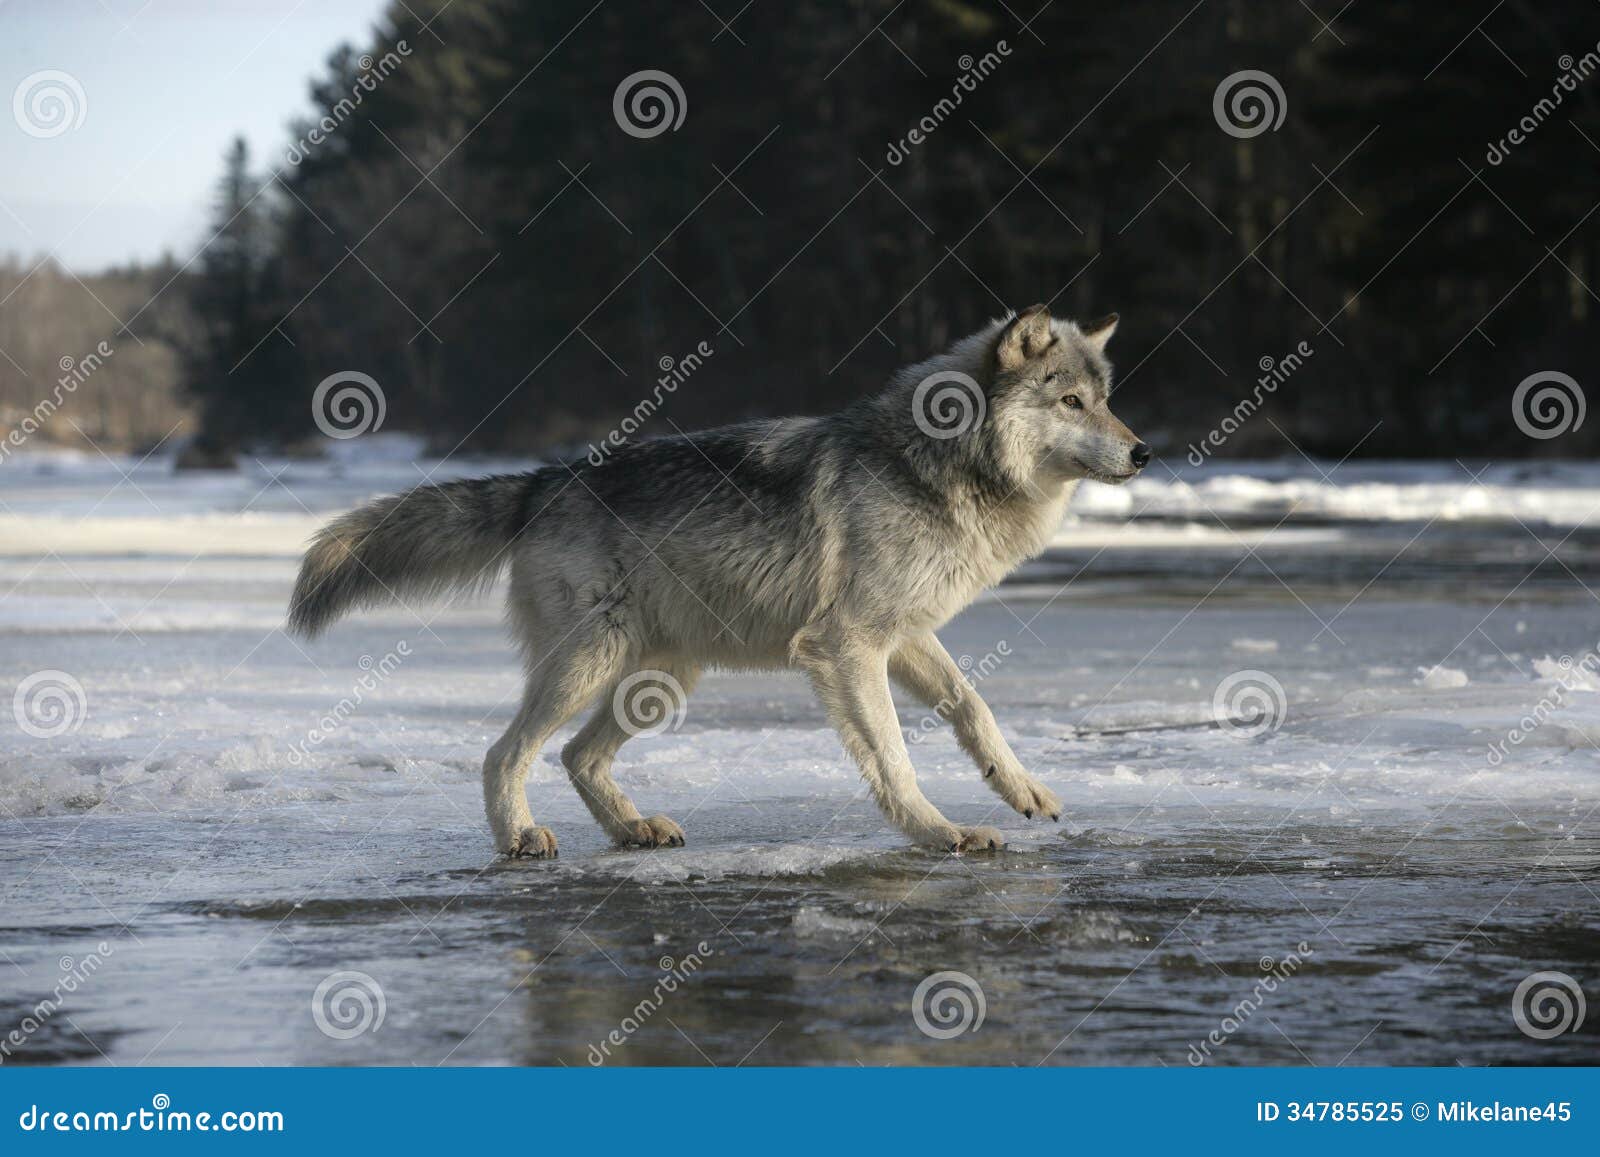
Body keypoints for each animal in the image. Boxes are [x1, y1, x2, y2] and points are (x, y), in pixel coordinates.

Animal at [288, 307, 1152, 857]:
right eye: (1071, 400)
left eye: (1107, 399)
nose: (1144, 450)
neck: (937, 465)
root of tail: (547, 478)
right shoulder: (847, 646)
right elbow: (895, 756)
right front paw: (942, 833)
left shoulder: (903, 637)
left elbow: (975, 708)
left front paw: (1024, 791)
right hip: (592, 666)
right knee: (504, 754)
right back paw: (521, 839)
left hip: (661, 679)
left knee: (575, 756)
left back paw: (633, 830)